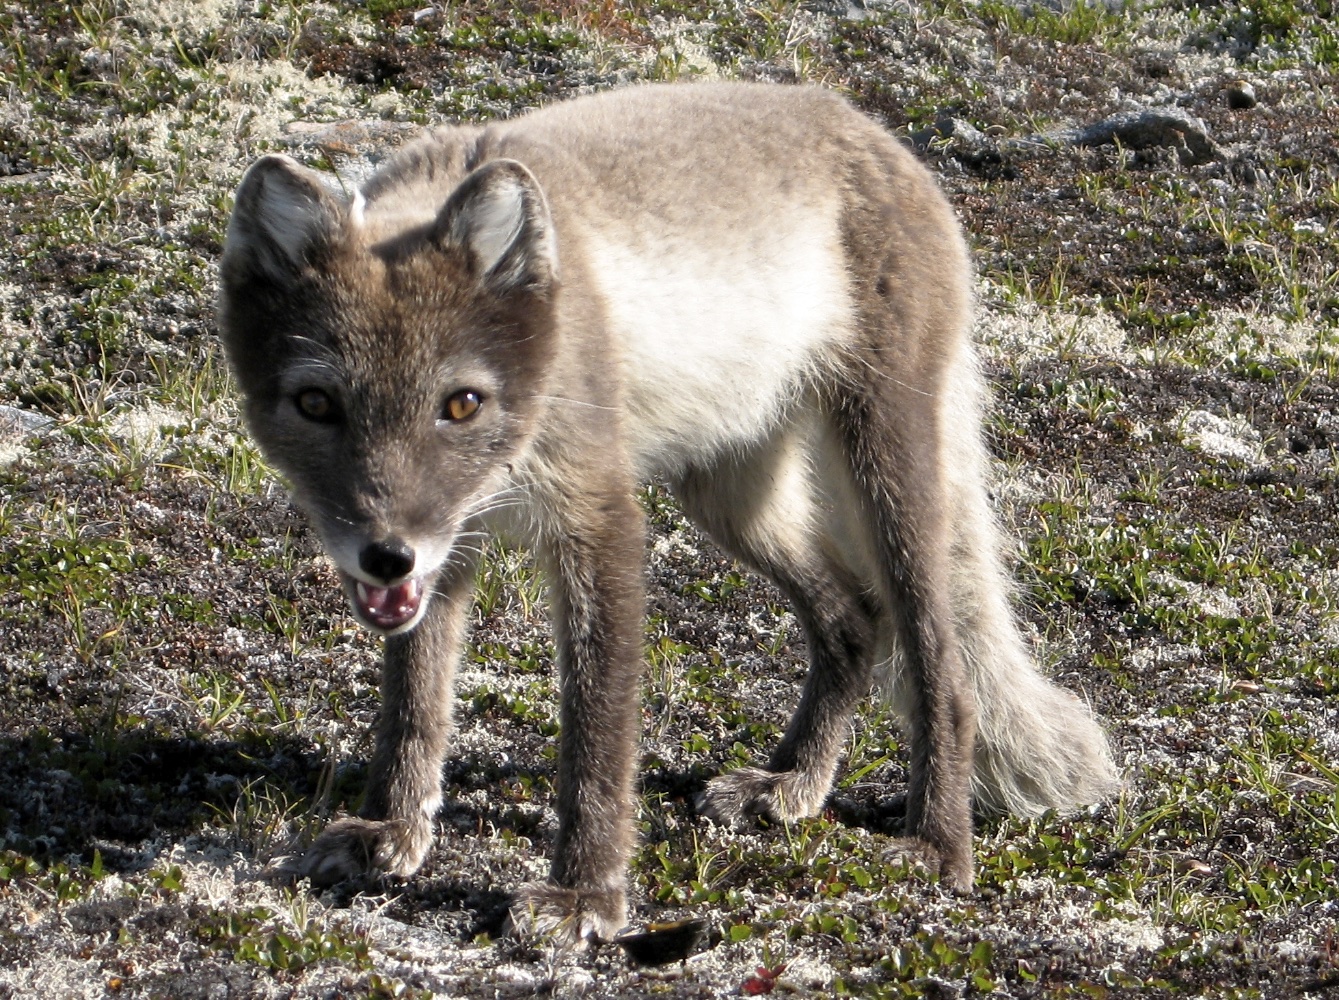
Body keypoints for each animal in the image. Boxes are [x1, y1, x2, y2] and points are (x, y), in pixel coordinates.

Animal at [222, 80, 1119, 947]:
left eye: (461, 403)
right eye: (316, 403)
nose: (386, 555)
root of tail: (870, 130)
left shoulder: (601, 520)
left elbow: (596, 736)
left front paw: (585, 896)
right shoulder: (451, 544)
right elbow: (413, 706)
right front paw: (390, 831)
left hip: (885, 473)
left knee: (942, 663)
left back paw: (936, 845)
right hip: (729, 496)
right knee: (852, 618)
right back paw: (792, 783)